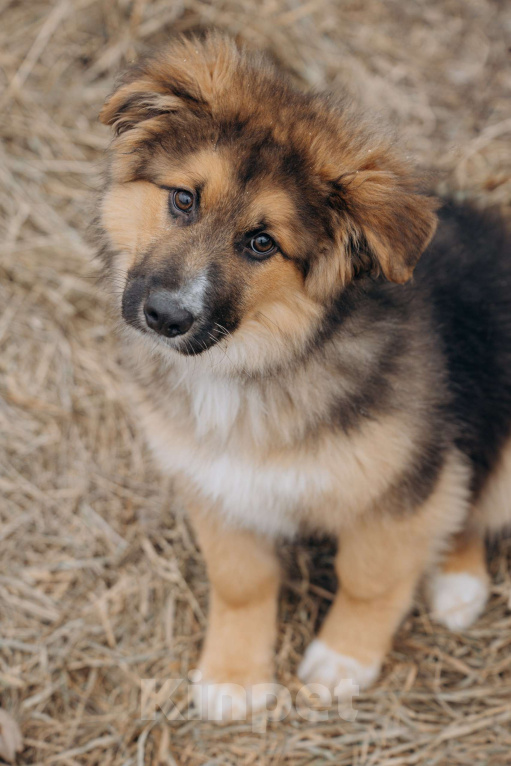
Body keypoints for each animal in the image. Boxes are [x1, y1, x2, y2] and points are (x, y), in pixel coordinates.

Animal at [96, 34, 511, 720]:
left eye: (262, 243)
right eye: (183, 200)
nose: (165, 316)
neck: (262, 361)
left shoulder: (402, 483)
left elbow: (370, 577)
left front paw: (342, 660)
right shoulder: (217, 482)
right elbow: (241, 581)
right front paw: (234, 676)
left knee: (472, 499)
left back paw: (456, 582)